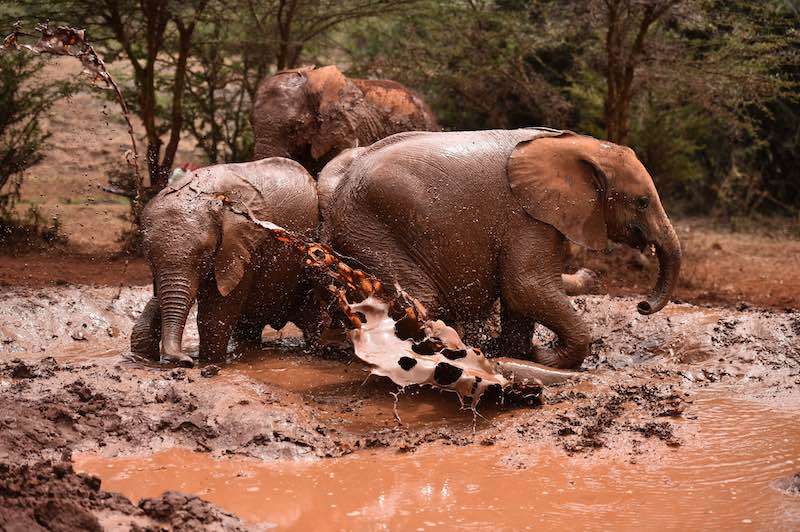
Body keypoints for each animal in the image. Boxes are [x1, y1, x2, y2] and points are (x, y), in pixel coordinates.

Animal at [130, 157, 320, 366]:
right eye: (149, 257)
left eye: (205, 252)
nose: (185, 360)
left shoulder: (245, 245)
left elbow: (215, 313)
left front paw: (210, 363)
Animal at [318, 129, 680, 370]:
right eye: (642, 202)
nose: (643, 306)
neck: (579, 145)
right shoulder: (528, 217)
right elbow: (527, 287)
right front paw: (544, 356)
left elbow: (522, 296)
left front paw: (518, 352)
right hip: (371, 228)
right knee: (420, 299)